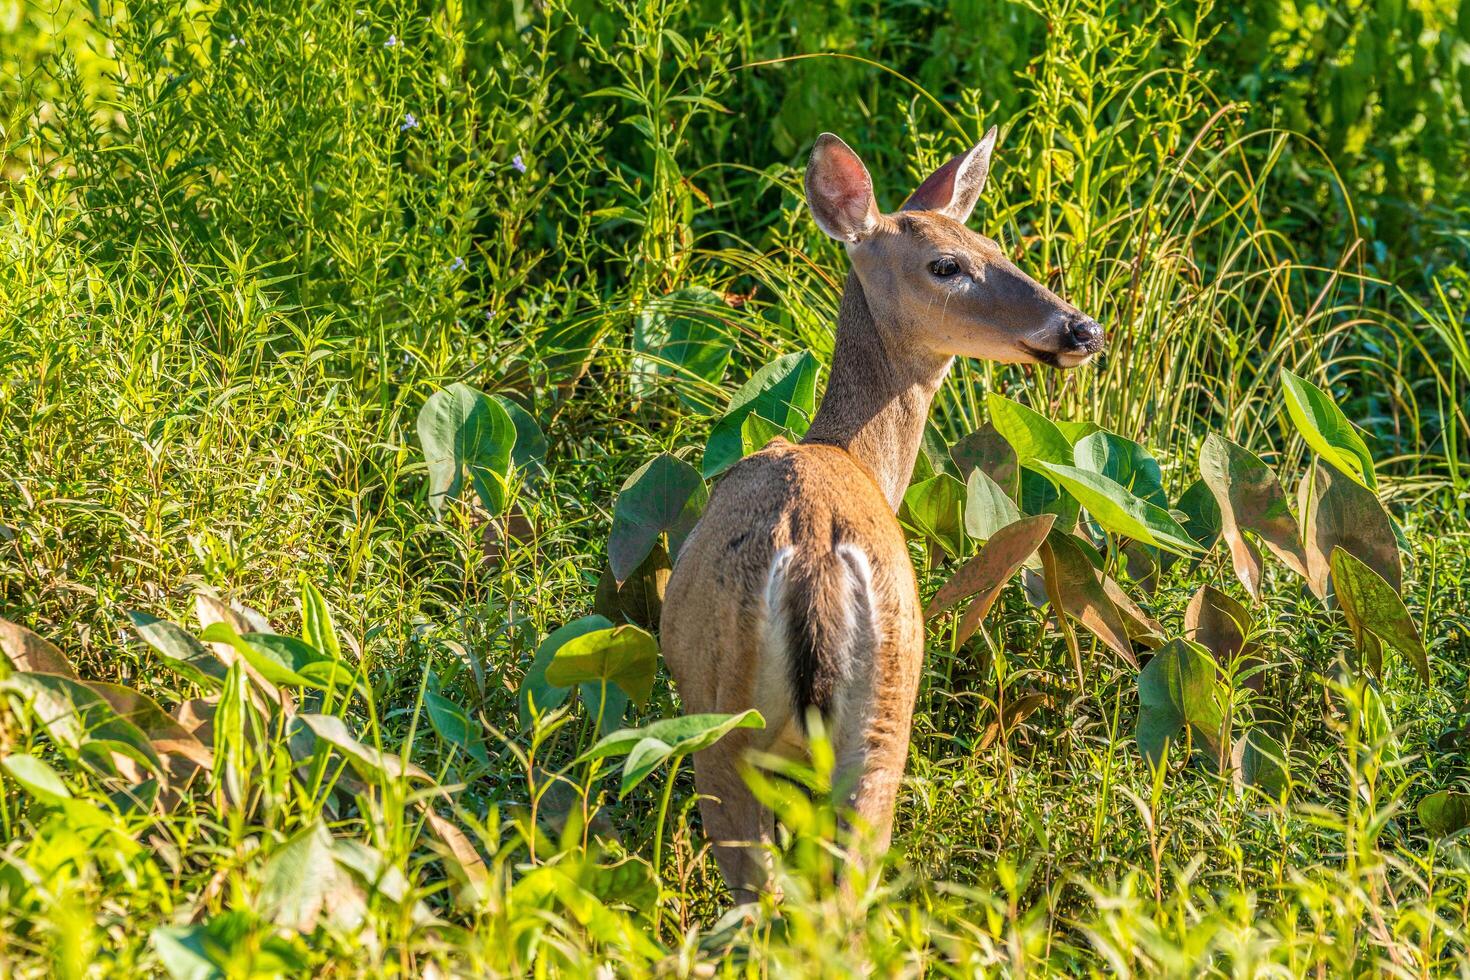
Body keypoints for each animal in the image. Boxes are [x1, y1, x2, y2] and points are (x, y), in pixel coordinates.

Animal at [658, 130, 1105, 905]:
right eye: (948, 263)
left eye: (995, 244)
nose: (1083, 328)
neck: (849, 452)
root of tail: (812, 562)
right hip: (878, 716)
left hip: (732, 719)